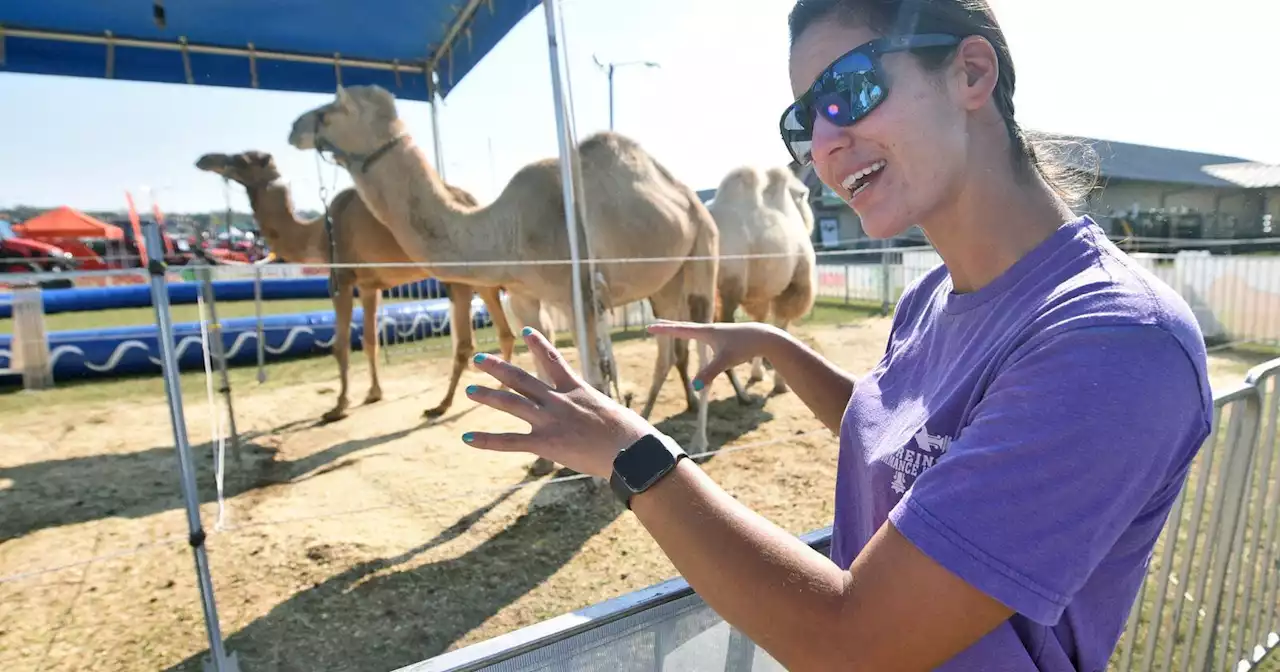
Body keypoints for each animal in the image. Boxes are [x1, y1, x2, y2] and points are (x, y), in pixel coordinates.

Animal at [192, 152, 512, 424]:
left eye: (242, 159)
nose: (205, 160)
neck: (318, 233)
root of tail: (473, 203)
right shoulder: (370, 286)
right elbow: (370, 340)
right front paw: (373, 393)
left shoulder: (341, 279)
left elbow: (341, 344)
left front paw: (337, 407)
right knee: (502, 330)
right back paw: (497, 388)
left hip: (459, 274)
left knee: (467, 341)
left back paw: (442, 405)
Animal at [706, 165, 814, 396]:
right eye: (804, 196)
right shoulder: (793, 287)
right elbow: (782, 327)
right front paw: (780, 384)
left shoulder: (759, 294)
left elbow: (761, 326)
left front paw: (758, 374)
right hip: (727, 288)